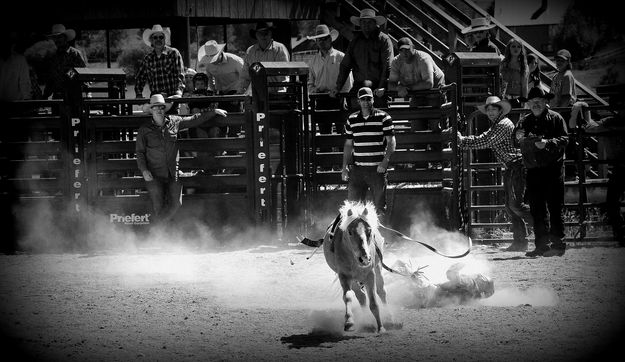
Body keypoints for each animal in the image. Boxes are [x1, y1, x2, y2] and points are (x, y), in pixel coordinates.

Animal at [322, 201, 386, 334]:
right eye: (350, 232)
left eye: (369, 231)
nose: (365, 258)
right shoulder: (344, 276)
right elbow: (348, 297)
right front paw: (349, 323)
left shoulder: (370, 274)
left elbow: (374, 302)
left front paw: (381, 327)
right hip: (354, 278)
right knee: (361, 297)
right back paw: (367, 322)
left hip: (378, 268)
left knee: (381, 291)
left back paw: (391, 319)